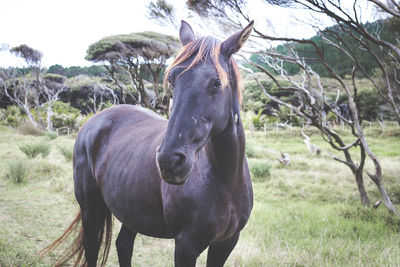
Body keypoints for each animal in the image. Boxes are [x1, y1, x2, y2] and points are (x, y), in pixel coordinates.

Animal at [43, 20, 253, 267]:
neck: (226, 180)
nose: (169, 161)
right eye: (172, 80)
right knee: (92, 248)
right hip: (90, 208)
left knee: (123, 245)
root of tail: (93, 121)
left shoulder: (225, 243)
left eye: (216, 83)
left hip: (132, 210)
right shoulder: (186, 246)